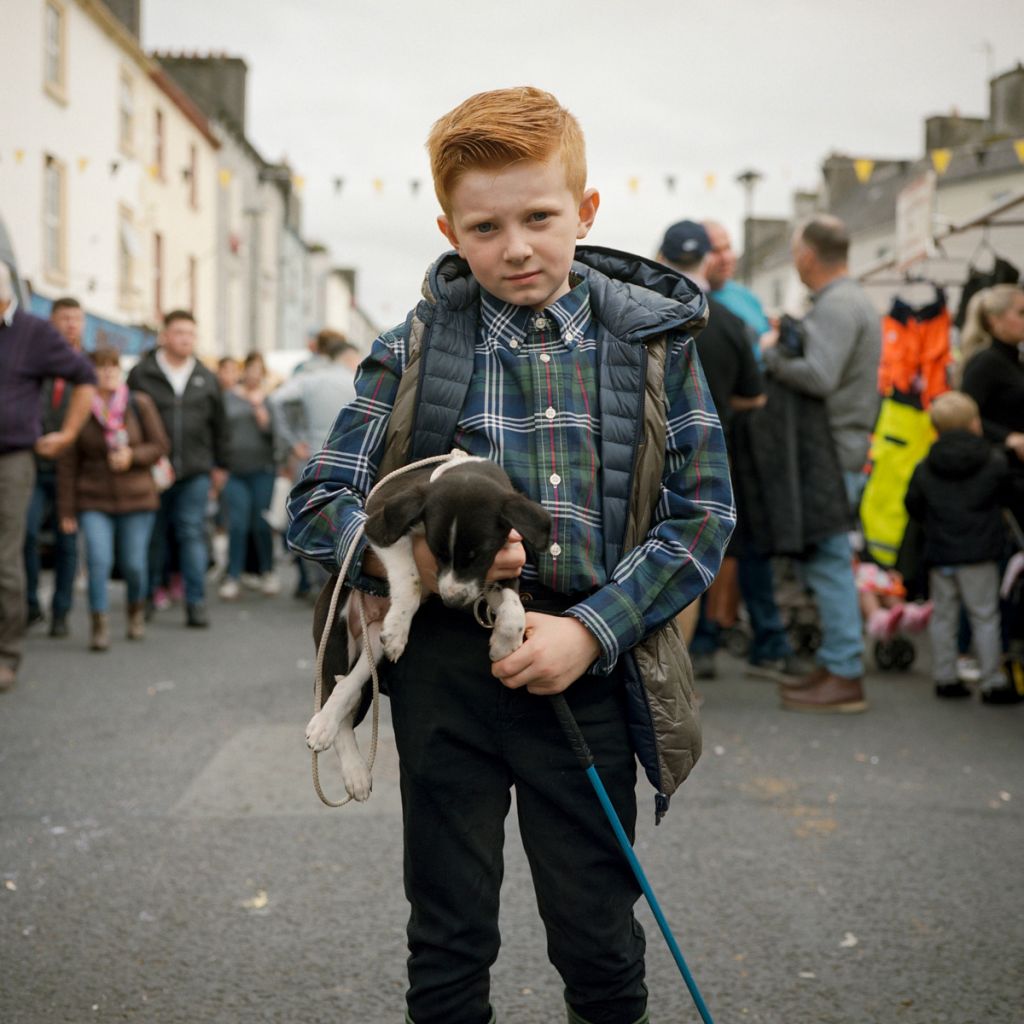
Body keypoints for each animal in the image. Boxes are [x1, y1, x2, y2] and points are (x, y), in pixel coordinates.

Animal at [303, 456, 552, 798]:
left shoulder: (502, 563)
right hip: (334, 632)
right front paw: (401, 623)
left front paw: (504, 643)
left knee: (349, 683)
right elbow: (411, 577)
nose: (452, 600)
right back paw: (336, 743)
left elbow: (514, 607)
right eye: (436, 552)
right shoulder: (379, 528)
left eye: (478, 555)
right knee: (333, 689)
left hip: (374, 645)